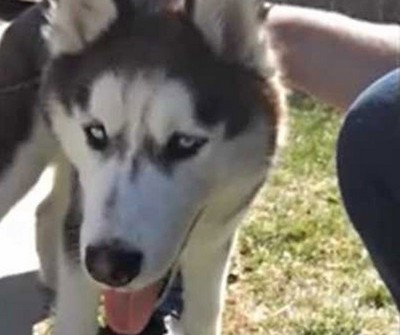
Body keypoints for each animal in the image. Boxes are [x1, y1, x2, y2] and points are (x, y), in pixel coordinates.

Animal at [0, 0, 284, 335]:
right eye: (96, 132)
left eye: (185, 142)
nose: (108, 267)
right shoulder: (80, 240)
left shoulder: (212, 245)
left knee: (46, 211)